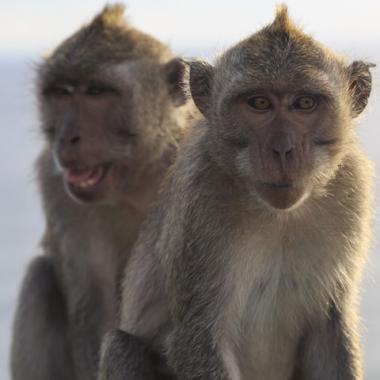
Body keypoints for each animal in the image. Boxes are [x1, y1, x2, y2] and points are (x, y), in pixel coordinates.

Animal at [10, 3, 197, 380]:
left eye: (97, 92)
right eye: (61, 93)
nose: (68, 137)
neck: (139, 178)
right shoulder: (57, 188)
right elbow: (93, 308)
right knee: (40, 278)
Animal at [97, 5, 374, 380]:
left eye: (304, 103)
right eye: (259, 103)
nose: (283, 150)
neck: (279, 215)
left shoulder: (351, 189)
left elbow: (330, 328)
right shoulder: (200, 201)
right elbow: (199, 339)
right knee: (121, 346)